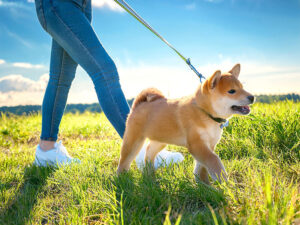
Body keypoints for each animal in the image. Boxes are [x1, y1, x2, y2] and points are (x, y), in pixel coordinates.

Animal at [117, 64, 255, 184]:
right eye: (232, 91)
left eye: (242, 87)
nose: (252, 97)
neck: (204, 112)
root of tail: (138, 105)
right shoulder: (196, 144)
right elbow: (213, 159)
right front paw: (224, 182)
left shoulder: (209, 145)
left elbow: (202, 167)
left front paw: (204, 184)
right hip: (133, 141)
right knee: (125, 160)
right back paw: (122, 179)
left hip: (160, 140)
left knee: (149, 151)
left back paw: (150, 173)